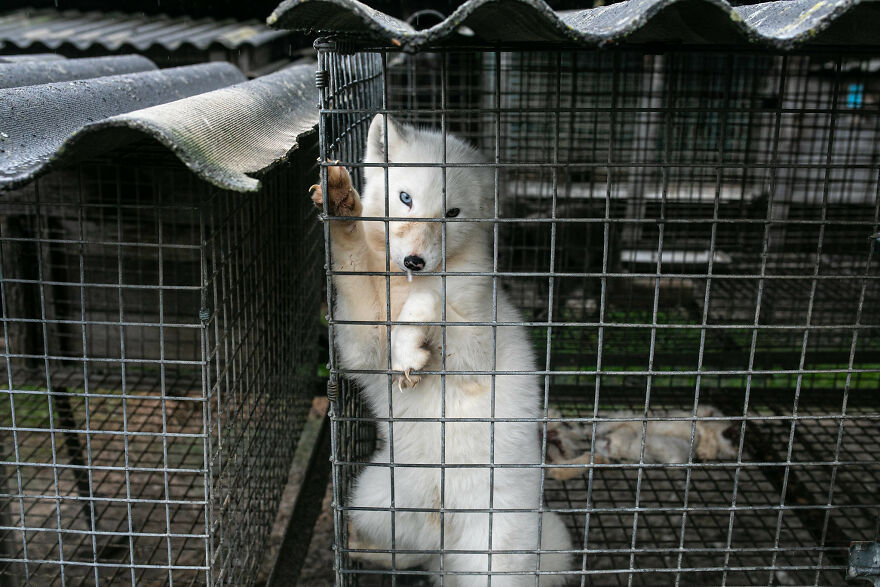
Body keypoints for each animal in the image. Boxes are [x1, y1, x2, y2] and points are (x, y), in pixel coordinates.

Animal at [310, 114, 573, 585]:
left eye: (452, 213)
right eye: (405, 198)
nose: (414, 261)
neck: (400, 287)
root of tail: (446, 537)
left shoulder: (477, 348)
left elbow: (431, 305)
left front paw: (410, 349)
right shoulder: (361, 341)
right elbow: (352, 257)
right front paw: (341, 204)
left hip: (498, 556)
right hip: (374, 497)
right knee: (405, 554)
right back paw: (355, 543)